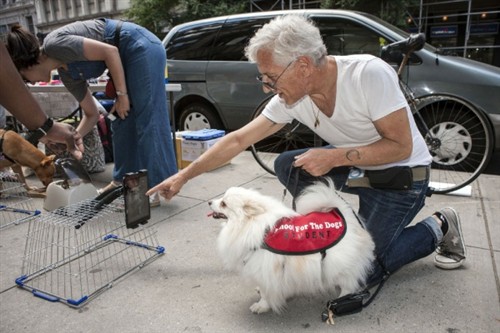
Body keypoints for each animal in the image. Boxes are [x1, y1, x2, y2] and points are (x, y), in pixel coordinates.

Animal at [208, 180, 376, 312]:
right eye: (222, 198)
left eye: (223, 204)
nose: (209, 202)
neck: (248, 224)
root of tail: (343, 215)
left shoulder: (265, 269)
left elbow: (266, 292)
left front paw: (261, 305)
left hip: (340, 265)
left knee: (349, 283)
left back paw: (341, 299)